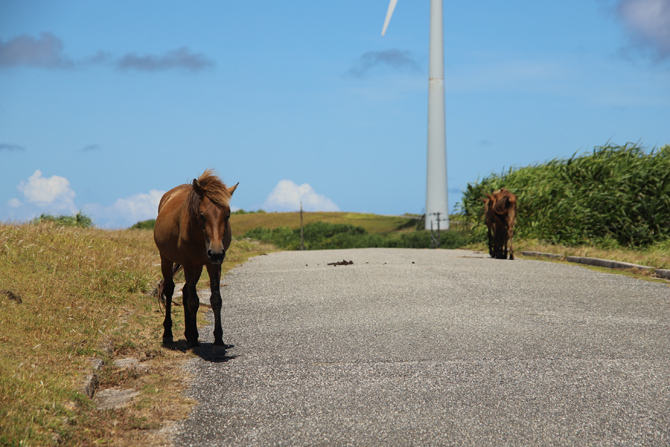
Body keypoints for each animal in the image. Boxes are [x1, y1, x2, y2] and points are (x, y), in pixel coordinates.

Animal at [154, 169, 238, 349]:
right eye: (202, 215)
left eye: (227, 215)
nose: (216, 253)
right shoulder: (189, 264)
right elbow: (193, 301)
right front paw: (193, 340)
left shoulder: (213, 265)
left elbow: (215, 299)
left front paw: (218, 339)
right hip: (166, 259)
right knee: (170, 290)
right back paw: (168, 333)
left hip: (198, 266)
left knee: (186, 290)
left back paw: (189, 334)